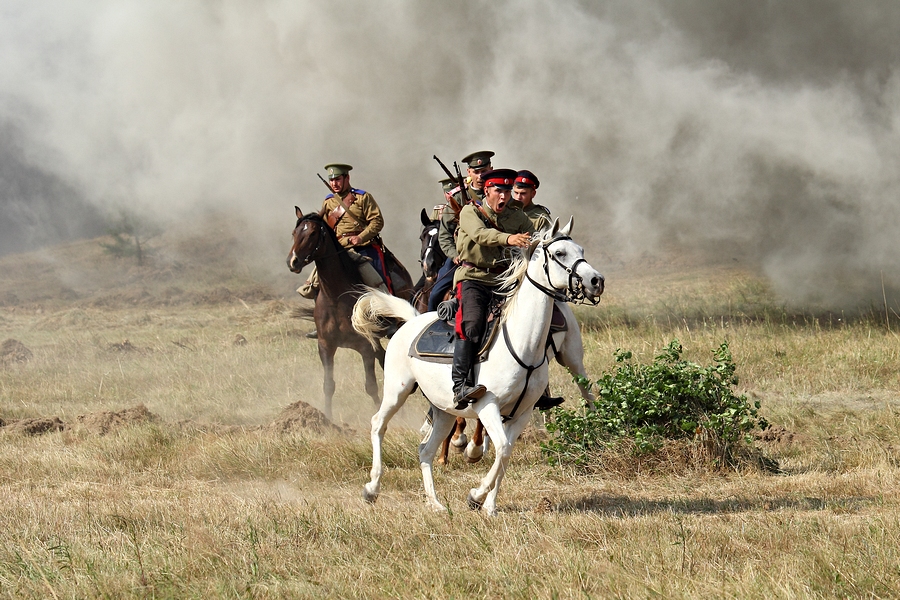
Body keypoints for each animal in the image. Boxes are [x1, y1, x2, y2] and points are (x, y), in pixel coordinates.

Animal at [286, 209, 414, 420]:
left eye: (312, 233)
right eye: (294, 233)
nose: (292, 261)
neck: (336, 297)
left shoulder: (365, 347)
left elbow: (371, 386)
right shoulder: (326, 346)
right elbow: (328, 385)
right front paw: (328, 420)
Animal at [352, 218, 604, 512]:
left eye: (580, 249)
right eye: (560, 253)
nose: (596, 280)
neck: (522, 345)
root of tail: (412, 320)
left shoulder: (522, 413)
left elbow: (505, 453)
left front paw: (488, 505)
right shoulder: (487, 406)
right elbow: (502, 448)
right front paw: (477, 494)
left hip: (446, 409)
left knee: (425, 450)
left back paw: (435, 503)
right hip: (397, 390)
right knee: (378, 424)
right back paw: (372, 488)